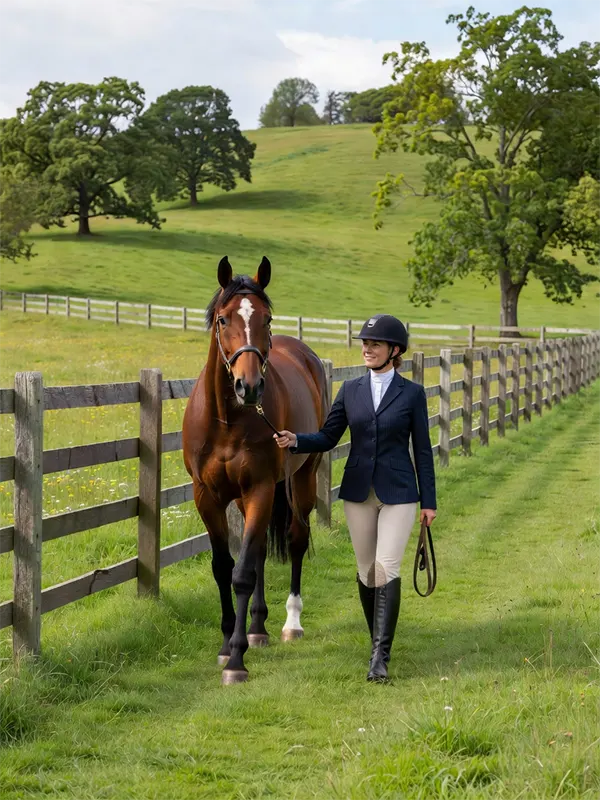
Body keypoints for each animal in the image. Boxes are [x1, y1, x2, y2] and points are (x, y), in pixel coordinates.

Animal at [182, 255, 328, 684]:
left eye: (266, 318)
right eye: (223, 319)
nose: (249, 386)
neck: (227, 420)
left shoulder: (260, 488)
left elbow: (243, 573)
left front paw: (236, 660)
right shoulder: (207, 496)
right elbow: (223, 567)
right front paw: (226, 642)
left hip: (301, 477)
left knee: (296, 539)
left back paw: (289, 624)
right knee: (261, 549)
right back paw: (257, 627)